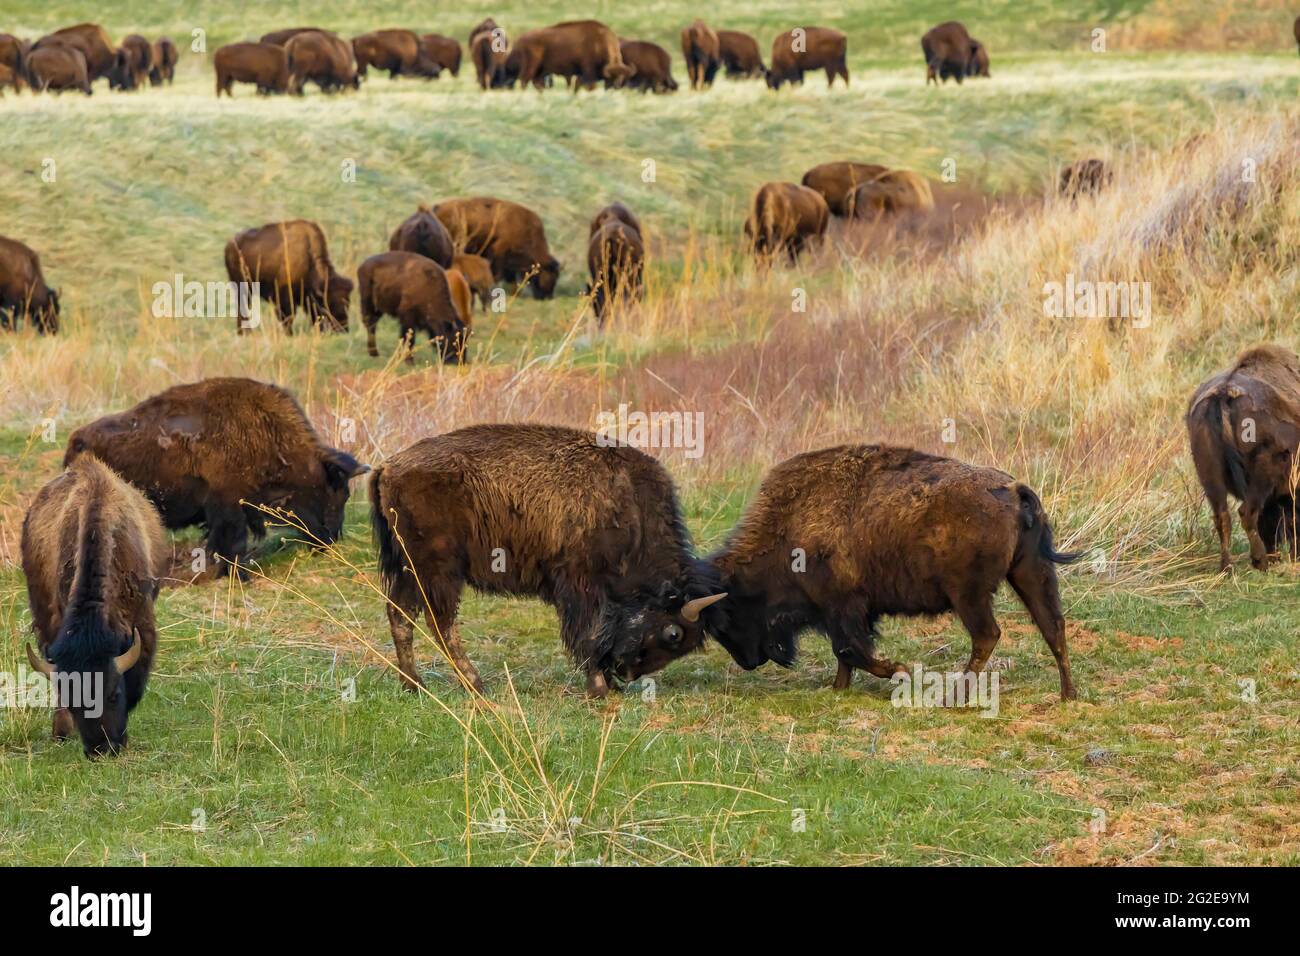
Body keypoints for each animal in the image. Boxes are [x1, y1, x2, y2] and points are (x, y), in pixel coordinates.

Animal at [64, 377, 369, 577]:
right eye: (336, 492)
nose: (331, 539)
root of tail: (77, 443)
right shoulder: (228, 506)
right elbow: (232, 542)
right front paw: (239, 575)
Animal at [369, 424, 727, 696]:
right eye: (673, 633)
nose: (626, 673)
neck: (632, 507)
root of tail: (388, 466)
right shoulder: (580, 586)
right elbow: (588, 634)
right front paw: (598, 687)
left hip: (408, 569)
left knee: (400, 615)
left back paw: (414, 685)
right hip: (438, 571)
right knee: (440, 622)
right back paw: (476, 685)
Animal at [706, 445, 1079, 701]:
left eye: (729, 616)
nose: (749, 662)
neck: (789, 525)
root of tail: (1015, 490)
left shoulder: (842, 606)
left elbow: (850, 649)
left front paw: (899, 670)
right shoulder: (845, 611)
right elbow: (845, 652)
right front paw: (838, 688)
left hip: (969, 594)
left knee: (988, 635)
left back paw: (954, 697)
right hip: (1030, 573)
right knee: (1052, 627)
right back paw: (1067, 695)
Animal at [1187, 344, 1300, 572]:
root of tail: (1224, 394)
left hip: (1209, 473)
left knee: (1222, 516)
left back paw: (1227, 567)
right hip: (1261, 476)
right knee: (1247, 513)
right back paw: (1260, 560)